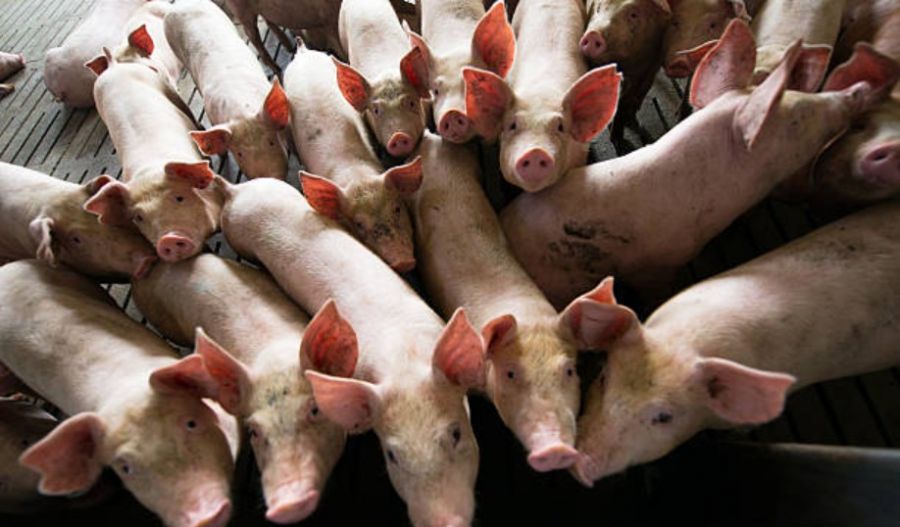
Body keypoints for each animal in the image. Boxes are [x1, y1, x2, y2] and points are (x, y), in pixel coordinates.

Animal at [0, 261, 238, 527]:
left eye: (191, 423)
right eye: (125, 467)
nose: (204, 516)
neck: (124, 391)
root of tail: (4, 272)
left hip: (80, 283)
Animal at [81, 43, 223, 263]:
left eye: (179, 197)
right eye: (139, 218)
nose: (168, 239)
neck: (149, 171)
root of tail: (113, 66)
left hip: (166, 88)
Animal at [164, 0, 290, 180]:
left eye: (271, 142)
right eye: (239, 154)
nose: (269, 177)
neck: (242, 113)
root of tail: (178, 5)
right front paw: (223, 155)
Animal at [580, 0, 672, 143]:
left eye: (633, 15)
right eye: (599, 7)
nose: (593, 34)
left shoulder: (647, 67)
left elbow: (627, 100)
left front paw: (617, 138)